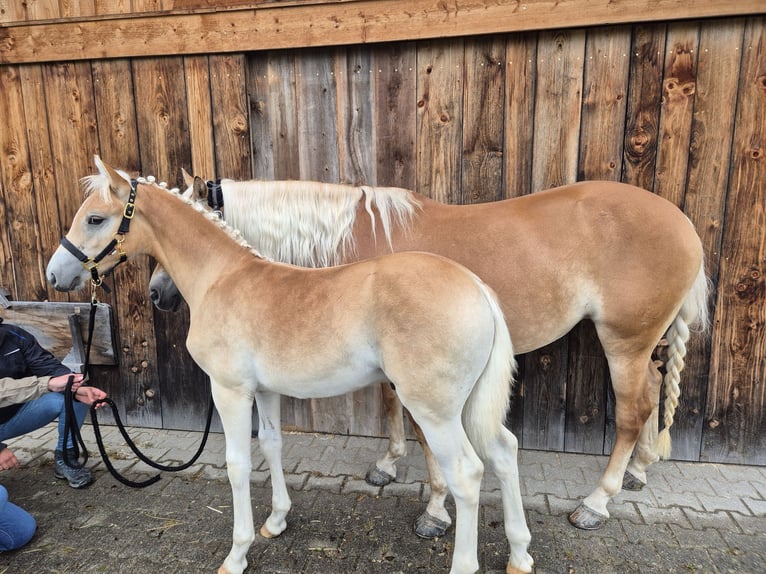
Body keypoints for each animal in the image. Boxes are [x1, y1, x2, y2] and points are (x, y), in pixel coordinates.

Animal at [45, 159, 536, 574]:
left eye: (95, 219)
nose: (55, 275)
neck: (221, 277)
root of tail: (475, 286)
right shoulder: (264, 391)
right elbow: (272, 446)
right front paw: (276, 521)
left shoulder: (229, 391)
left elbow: (238, 464)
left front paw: (237, 554)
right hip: (467, 405)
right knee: (503, 451)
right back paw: (520, 555)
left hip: (435, 410)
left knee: (467, 474)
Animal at [150, 173, 708, 532]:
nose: (159, 293)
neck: (351, 235)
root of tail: (684, 224)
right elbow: (393, 410)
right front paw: (389, 464)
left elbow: (420, 430)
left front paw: (435, 509)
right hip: (641, 344)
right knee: (654, 389)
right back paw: (639, 470)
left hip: (623, 341)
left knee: (633, 411)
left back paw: (598, 501)